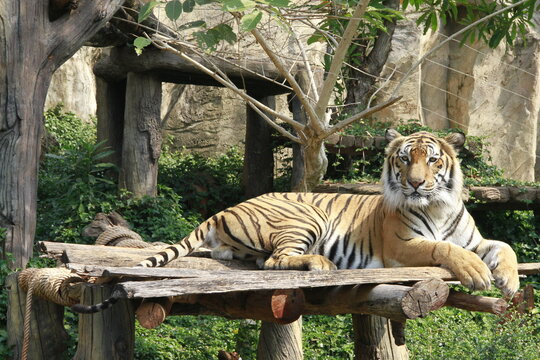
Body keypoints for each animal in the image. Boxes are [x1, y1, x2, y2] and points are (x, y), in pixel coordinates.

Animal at [71, 129, 520, 312]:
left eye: (433, 160)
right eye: (405, 159)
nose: (415, 183)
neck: (437, 205)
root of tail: (223, 210)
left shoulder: (475, 239)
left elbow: (505, 247)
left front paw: (510, 281)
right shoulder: (401, 247)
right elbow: (442, 247)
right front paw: (478, 274)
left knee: (257, 260)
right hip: (306, 216)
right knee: (275, 260)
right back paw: (322, 263)